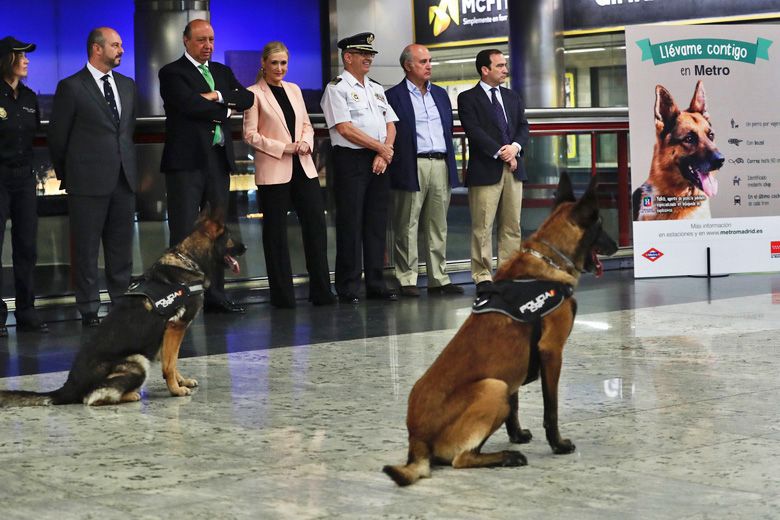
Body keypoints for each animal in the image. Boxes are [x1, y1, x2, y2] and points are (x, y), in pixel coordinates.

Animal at [0, 207, 245, 406]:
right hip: (137, 361)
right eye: (230, 237)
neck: (189, 259)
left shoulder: (170, 335)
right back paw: (131, 395)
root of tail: (67, 389)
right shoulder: (176, 328)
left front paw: (181, 381)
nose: (246, 247)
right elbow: (169, 365)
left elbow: (172, 362)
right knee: (93, 398)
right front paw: (175, 390)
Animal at [382, 173, 616, 486]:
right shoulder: (552, 352)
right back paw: (506, 457)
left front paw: (516, 434)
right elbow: (551, 408)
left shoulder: (514, 371)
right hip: (493, 387)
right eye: (601, 225)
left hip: (500, 385)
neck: (549, 260)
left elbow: (515, 406)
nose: (615, 246)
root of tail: (416, 439)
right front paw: (557, 444)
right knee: (461, 459)